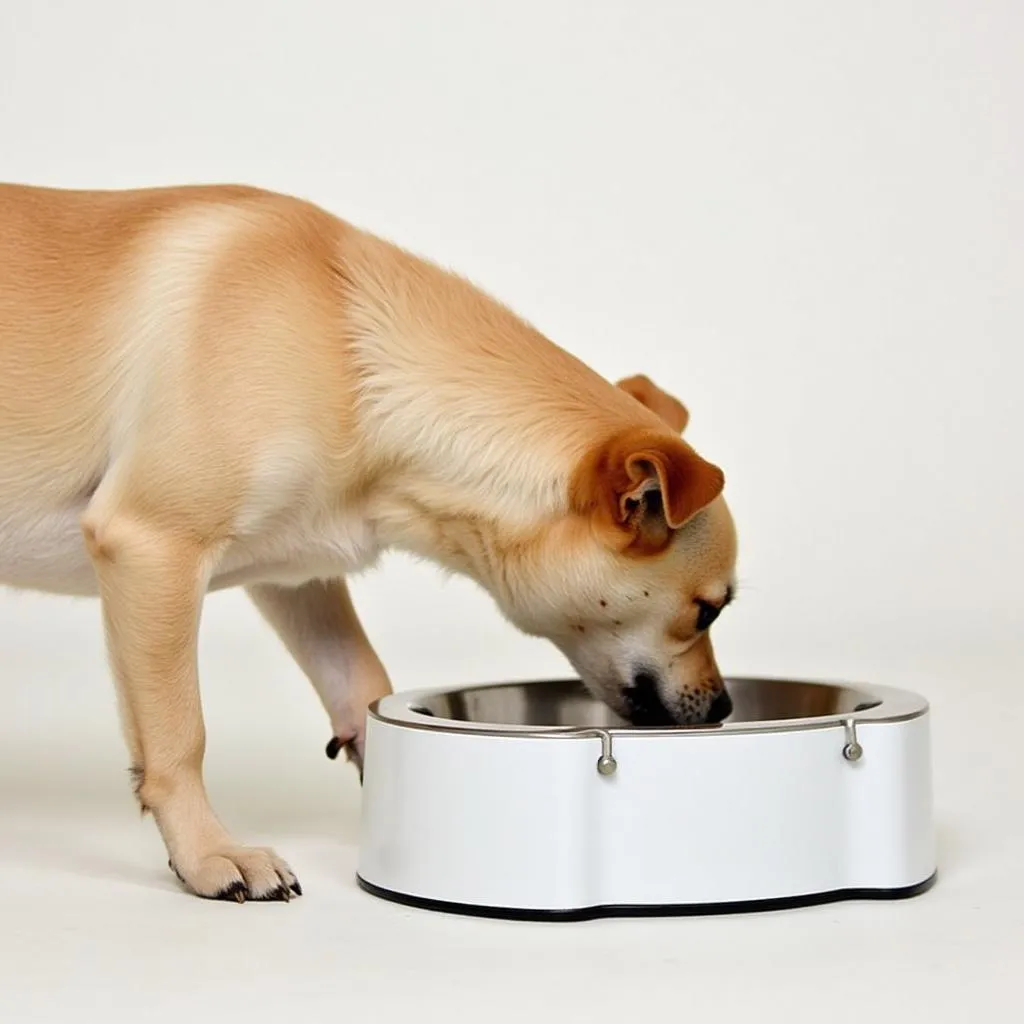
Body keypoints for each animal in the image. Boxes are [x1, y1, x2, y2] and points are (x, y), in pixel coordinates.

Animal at [0, 180, 737, 901]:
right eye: (708, 611)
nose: (726, 707)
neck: (353, 355)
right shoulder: (152, 549)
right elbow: (180, 737)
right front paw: (206, 855)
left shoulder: (296, 583)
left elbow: (360, 679)